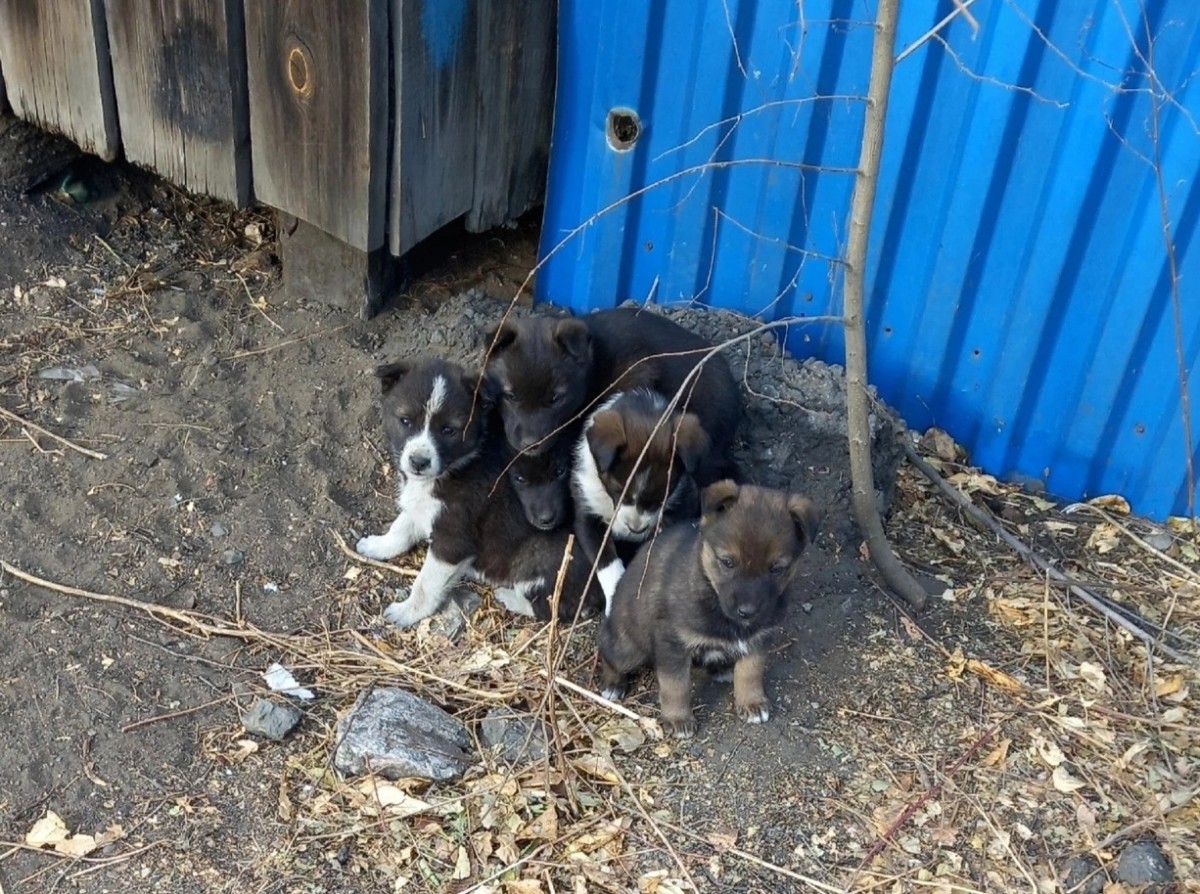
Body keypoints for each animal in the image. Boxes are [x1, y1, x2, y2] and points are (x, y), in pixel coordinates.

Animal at [352, 357, 600, 628]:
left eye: (449, 430)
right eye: (405, 420)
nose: (418, 462)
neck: (458, 465)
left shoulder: (452, 538)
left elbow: (426, 583)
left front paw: (407, 611)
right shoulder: (424, 506)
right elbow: (401, 527)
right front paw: (378, 545)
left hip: (549, 559)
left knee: (556, 608)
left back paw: (509, 597)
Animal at [573, 386, 710, 609]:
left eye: (663, 494)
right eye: (618, 490)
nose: (636, 530)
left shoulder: (685, 501)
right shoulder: (587, 512)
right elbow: (607, 562)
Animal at [597, 482, 820, 739]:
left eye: (776, 569)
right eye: (728, 562)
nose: (747, 612)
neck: (711, 593)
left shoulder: (758, 638)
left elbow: (751, 670)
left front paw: (752, 702)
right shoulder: (672, 642)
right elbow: (676, 684)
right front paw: (678, 718)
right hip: (628, 649)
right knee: (609, 653)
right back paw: (613, 685)